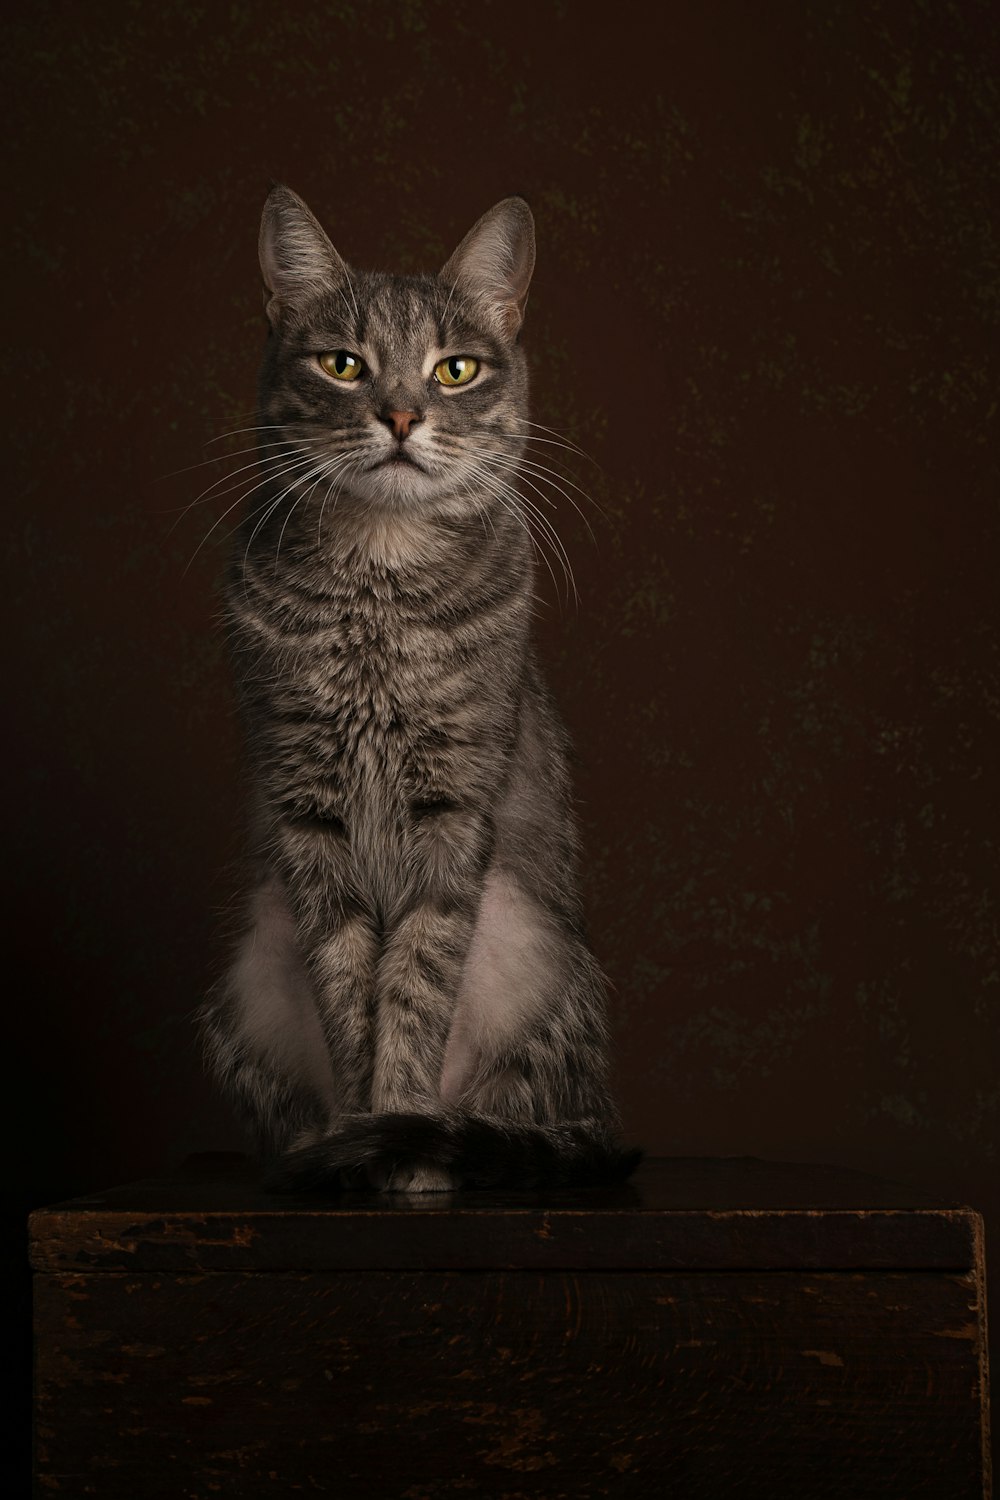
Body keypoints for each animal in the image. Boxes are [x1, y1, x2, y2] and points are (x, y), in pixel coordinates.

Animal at [197, 184, 638, 1194]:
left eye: (456, 370)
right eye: (344, 364)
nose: (400, 416)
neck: (380, 587)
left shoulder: (454, 809)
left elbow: (416, 984)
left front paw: (399, 1127)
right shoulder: (307, 809)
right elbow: (348, 985)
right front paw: (363, 1133)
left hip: (528, 936)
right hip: (251, 963)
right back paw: (319, 1148)